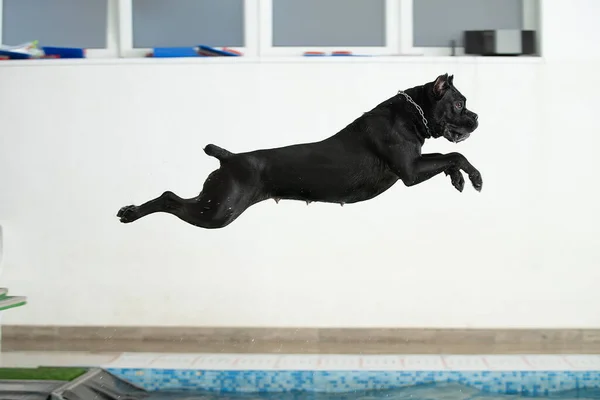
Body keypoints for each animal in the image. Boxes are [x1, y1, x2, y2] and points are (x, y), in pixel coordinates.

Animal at [117, 72, 482, 228]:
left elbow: (447, 158)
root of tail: (229, 158)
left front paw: (458, 179)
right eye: (459, 104)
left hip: (213, 200)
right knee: (169, 199)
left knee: (175, 198)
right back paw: (131, 214)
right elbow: (454, 155)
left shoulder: (417, 164)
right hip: (218, 212)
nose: (477, 117)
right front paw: (474, 177)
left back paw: (130, 211)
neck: (411, 113)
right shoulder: (410, 170)